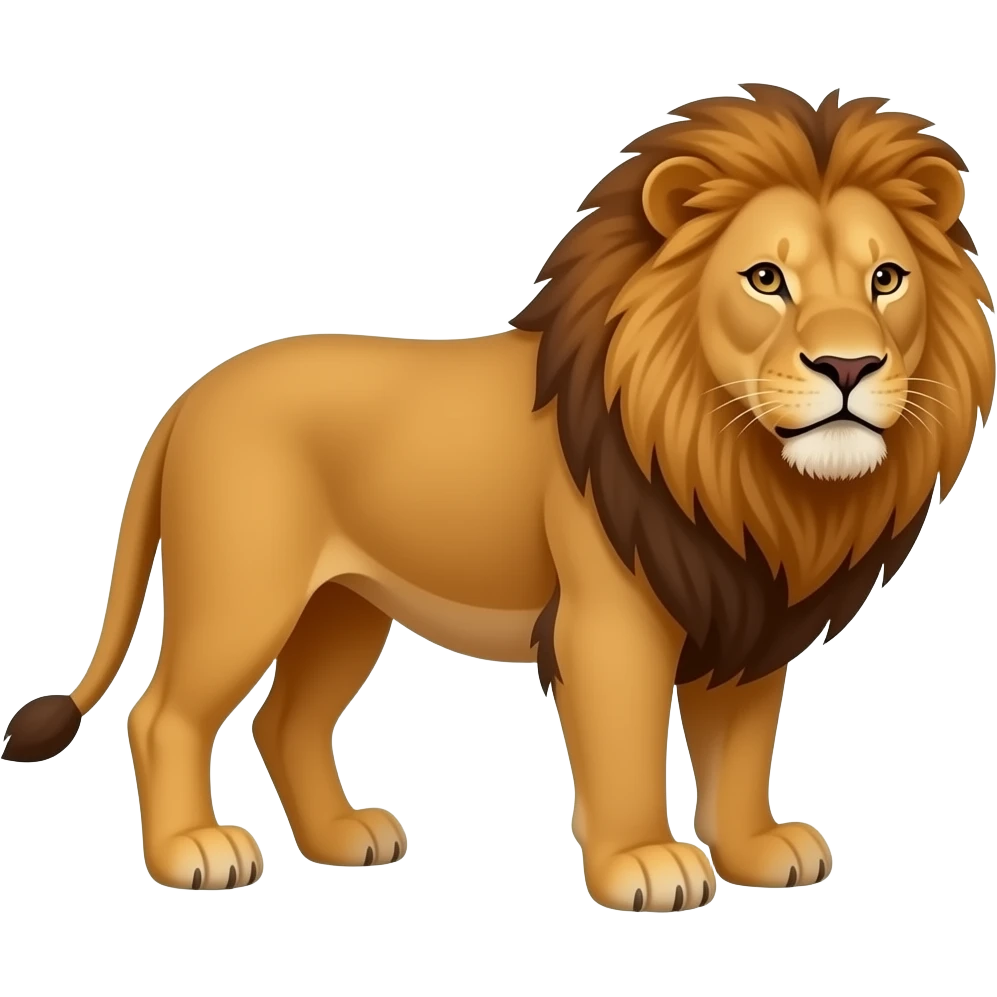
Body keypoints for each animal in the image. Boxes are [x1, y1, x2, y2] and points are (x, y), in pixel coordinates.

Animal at [3, 84, 993, 910]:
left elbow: (741, 752)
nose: (847, 365)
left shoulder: (744, 609)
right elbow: (625, 748)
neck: (738, 467)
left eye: (885, 278)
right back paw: (194, 854)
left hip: (342, 607)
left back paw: (344, 838)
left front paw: (755, 851)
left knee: (286, 723)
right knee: (163, 715)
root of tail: (187, 399)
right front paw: (645, 863)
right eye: (764, 279)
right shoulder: (610, 622)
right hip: (246, 591)